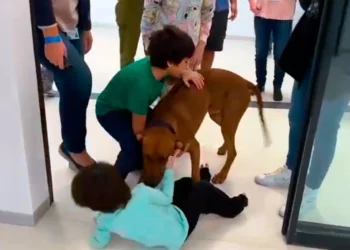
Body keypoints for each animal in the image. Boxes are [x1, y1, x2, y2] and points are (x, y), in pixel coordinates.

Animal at [140, 69, 270, 187]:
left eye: (164, 158)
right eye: (146, 156)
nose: (150, 184)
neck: (164, 122)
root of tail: (244, 82)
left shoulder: (194, 146)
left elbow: (195, 175)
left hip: (229, 119)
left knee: (233, 152)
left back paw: (222, 175)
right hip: (218, 117)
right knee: (229, 139)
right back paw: (224, 148)